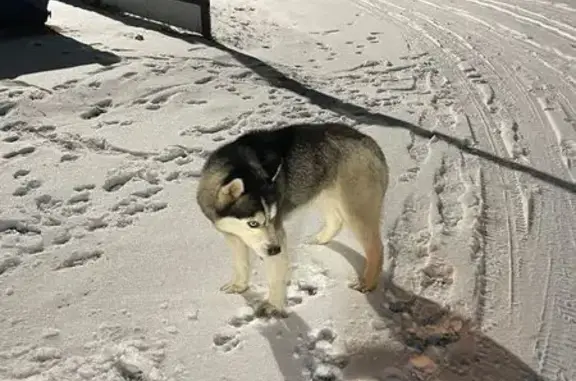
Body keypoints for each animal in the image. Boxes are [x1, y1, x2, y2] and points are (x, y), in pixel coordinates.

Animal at [196, 122, 390, 318]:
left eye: (272, 218)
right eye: (253, 223)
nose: (275, 250)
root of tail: (367, 140)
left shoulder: (277, 233)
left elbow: (275, 276)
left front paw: (273, 305)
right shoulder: (232, 234)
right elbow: (240, 263)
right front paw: (239, 286)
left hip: (355, 210)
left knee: (376, 248)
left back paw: (368, 283)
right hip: (322, 194)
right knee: (336, 221)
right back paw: (319, 239)